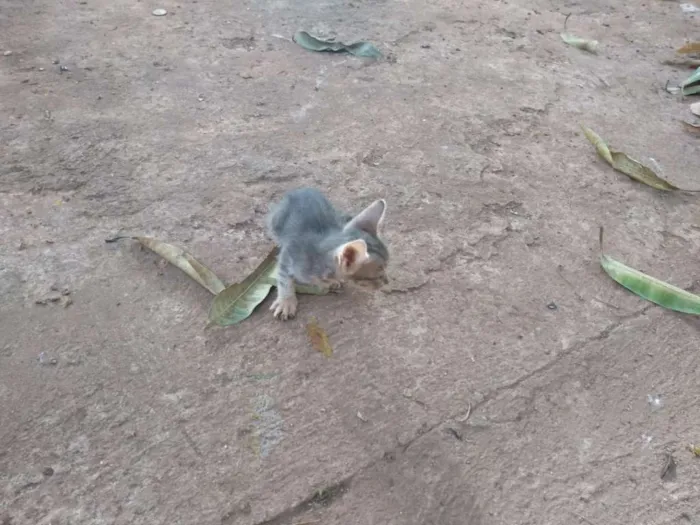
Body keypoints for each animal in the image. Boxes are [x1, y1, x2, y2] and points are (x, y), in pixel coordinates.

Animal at [266, 188, 392, 320]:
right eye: (376, 277)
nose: (387, 281)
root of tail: (301, 189)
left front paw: (333, 282)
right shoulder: (287, 256)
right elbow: (283, 279)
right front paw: (286, 301)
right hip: (275, 222)